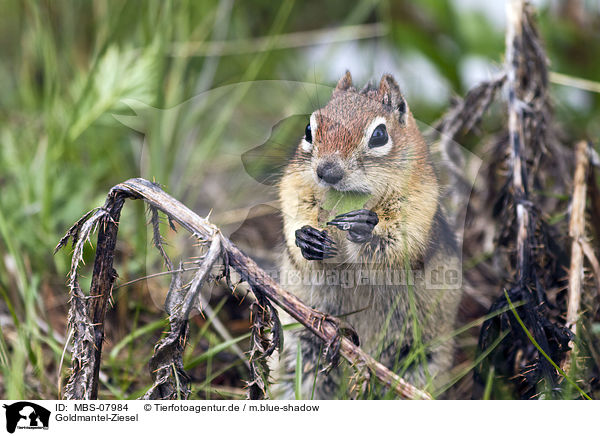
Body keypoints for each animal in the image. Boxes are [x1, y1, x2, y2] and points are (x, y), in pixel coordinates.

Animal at [274, 70, 462, 398]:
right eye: (309, 130)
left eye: (379, 135)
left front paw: (365, 226)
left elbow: (398, 246)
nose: (327, 171)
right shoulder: (294, 187)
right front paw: (306, 239)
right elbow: (295, 218)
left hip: (423, 358)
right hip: (300, 350)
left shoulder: (418, 205)